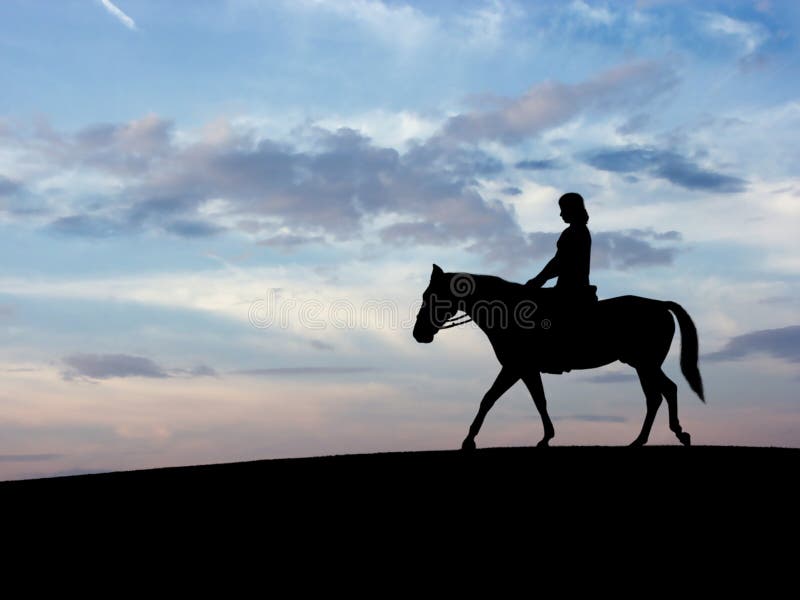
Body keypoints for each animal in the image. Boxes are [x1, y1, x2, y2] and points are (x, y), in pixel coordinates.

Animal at [416, 264, 704, 448]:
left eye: (431, 296)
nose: (419, 334)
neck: (507, 312)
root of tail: (661, 305)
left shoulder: (514, 367)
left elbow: (488, 399)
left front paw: (468, 440)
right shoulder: (526, 369)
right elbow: (539, 401)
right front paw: (546, 437)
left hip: (645, 363)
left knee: (663, 392)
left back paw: (670, 435)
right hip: (643, 364)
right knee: (660, 394)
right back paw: (644, 440)